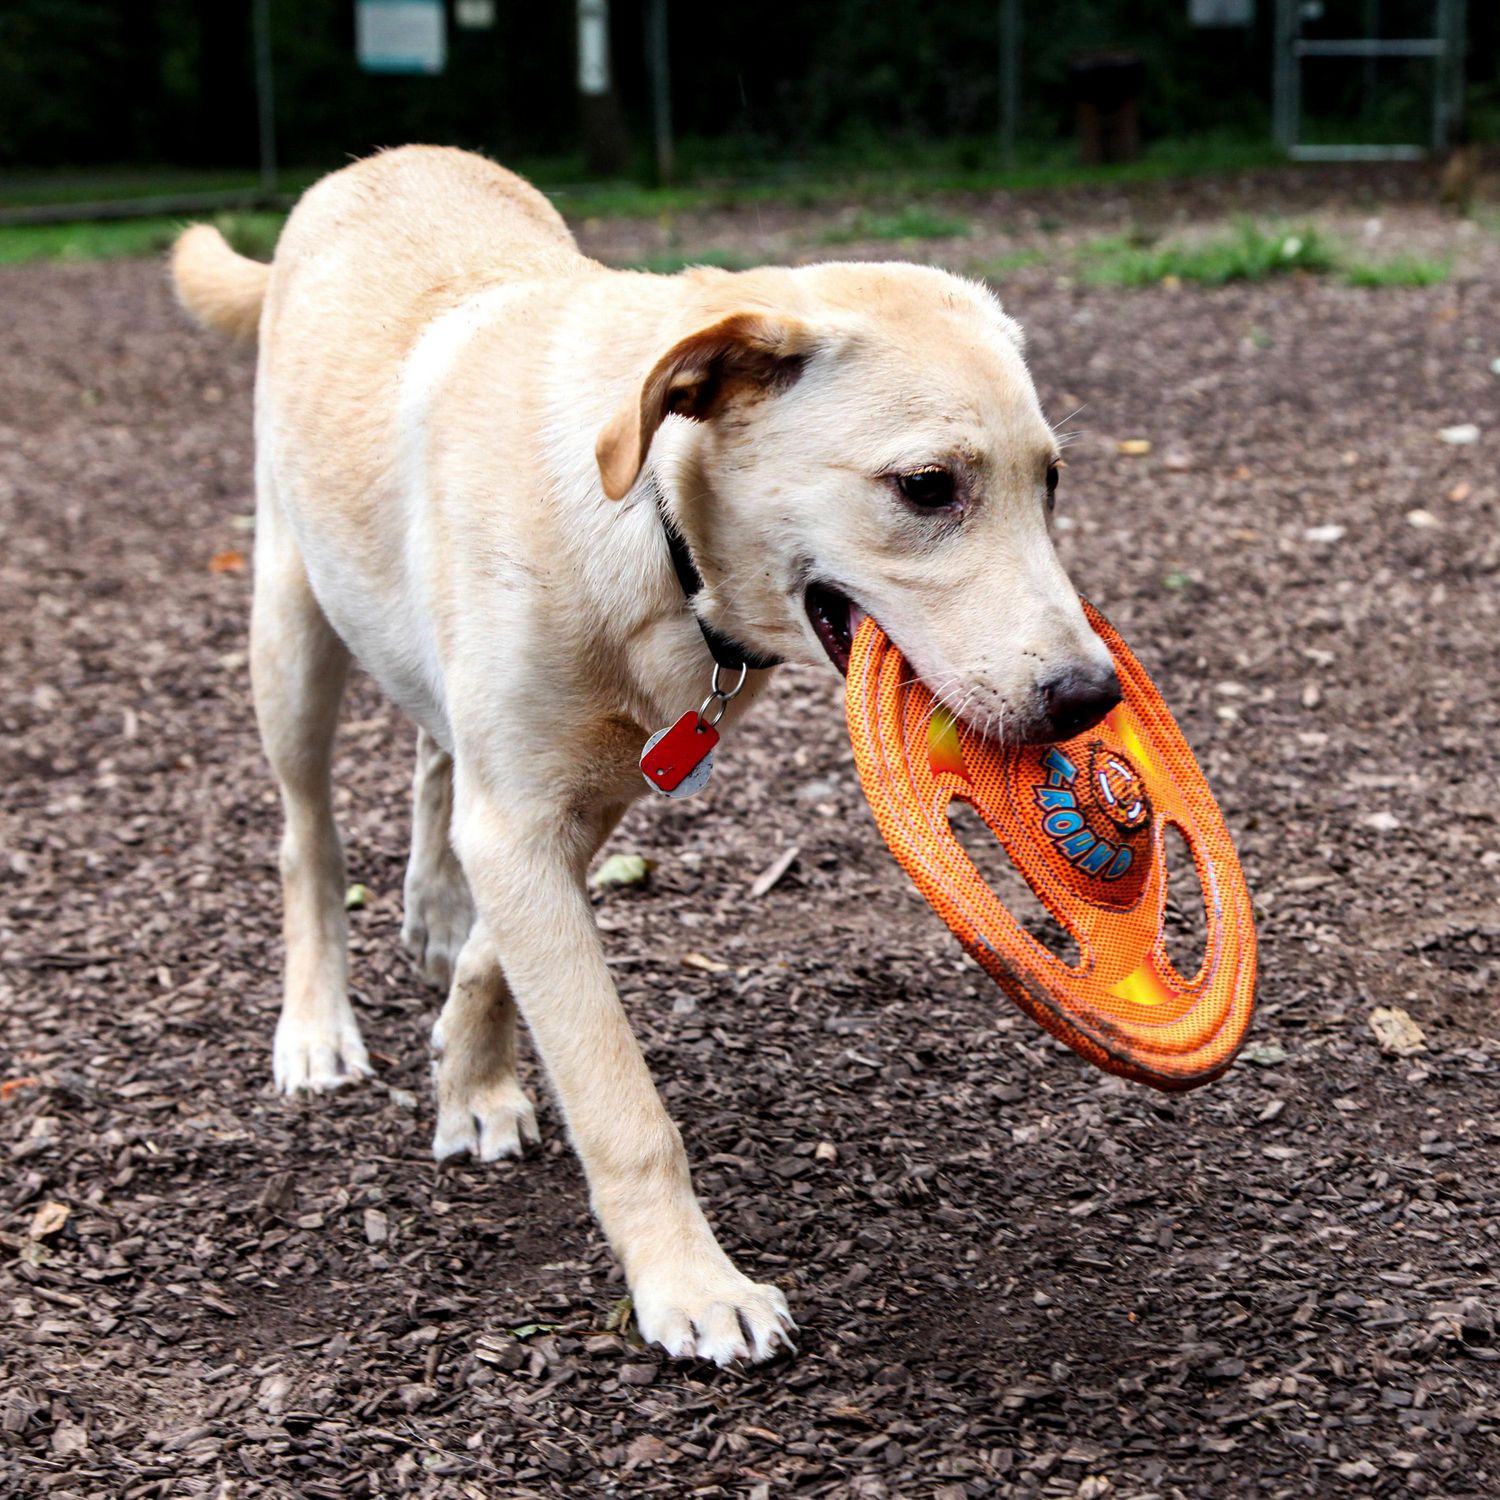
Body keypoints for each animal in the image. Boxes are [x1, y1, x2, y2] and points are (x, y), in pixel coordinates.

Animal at [170, 146, 1122, 1368]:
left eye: (1050, 482)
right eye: (925, 487)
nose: (1093, 697)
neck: (652, 525)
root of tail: (375, 164)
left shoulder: (598, 789)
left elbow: (496, 951)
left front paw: (470, 1073)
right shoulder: (525, 815)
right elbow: (617, 1097)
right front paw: (691, 1284)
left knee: (433, 756)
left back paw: (430, 912)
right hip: (290, 631)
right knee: (307, 841)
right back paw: (315, 1028)